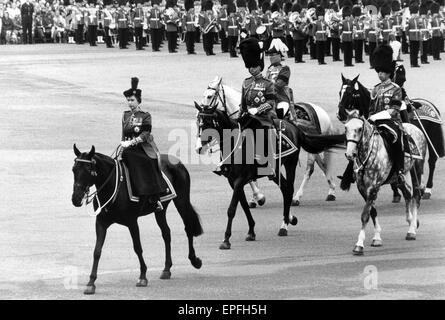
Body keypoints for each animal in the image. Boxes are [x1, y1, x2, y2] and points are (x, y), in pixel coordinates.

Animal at [71, 145, 203, 296]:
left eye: (88, 169)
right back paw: (166, 269)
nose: (76, 199)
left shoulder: (132, 222)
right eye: (74, 169)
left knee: (188, 227)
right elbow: (97, 251)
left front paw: (143, 276)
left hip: (182, 201)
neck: (113, 187)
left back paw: (194, 260)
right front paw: (91, 282)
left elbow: (138, 248)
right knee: (166, 233)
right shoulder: (101, 223)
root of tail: (177, 162)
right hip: (160, 210)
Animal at [194, 104, 344, 249]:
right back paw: (289, 218)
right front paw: (251, 231)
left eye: (208, 123)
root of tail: (294, 127)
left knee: (290, 188)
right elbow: (244, 206)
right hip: (275, 171)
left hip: (290, 163)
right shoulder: (233, 182)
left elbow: (232, 209)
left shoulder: (240, 180)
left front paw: (226, 240)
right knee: (285, 189)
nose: (199, 148)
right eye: (198, 123)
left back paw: (284, 225)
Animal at [196, 78, 334, 208]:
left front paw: (259, 197)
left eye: (209, 96)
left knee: (309, 169)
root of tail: (320, 111)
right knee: (323, 165)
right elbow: (250, 180)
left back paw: (297, 197)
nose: (198, 148)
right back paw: (331, 191)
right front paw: (255, 198)